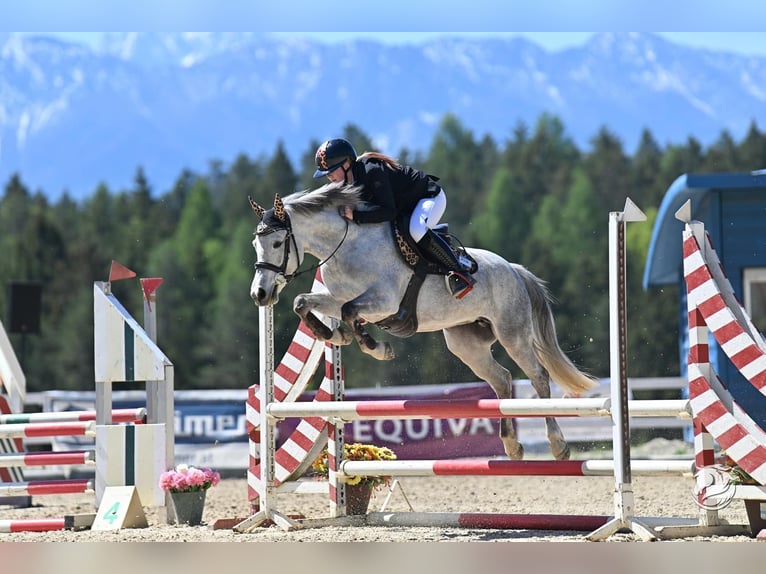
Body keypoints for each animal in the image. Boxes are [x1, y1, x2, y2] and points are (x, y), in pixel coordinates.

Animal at [249, 182, 597, 461]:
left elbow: (350, 312)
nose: (260, 294)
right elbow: (303, 303)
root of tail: (513, 268)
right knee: (501, 379)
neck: (345, 246)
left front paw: (377, 348)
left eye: (277, 243)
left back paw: (558, 446)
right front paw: (334, 336)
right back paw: (512, 447)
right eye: (255, 244)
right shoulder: (335, 299)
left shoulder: (383, 301)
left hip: (512, 333)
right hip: (465, 343)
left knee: (538, 377)